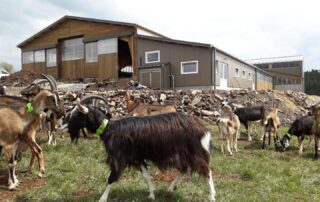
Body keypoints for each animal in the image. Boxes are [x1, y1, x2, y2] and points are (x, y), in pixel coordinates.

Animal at [67, 104, 218, 202]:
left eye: (76, 115)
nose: (67, 128)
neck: (110, 129)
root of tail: (203, 128)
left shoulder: (119, 157)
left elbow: (111, 178)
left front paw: (102, 198)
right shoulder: (137, 157)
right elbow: (146, 175)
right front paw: (152, 194)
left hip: (195, 151)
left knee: (206, 170)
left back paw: (212, 195)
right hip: (183, 153)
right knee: (184, 169)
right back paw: (170, 189)